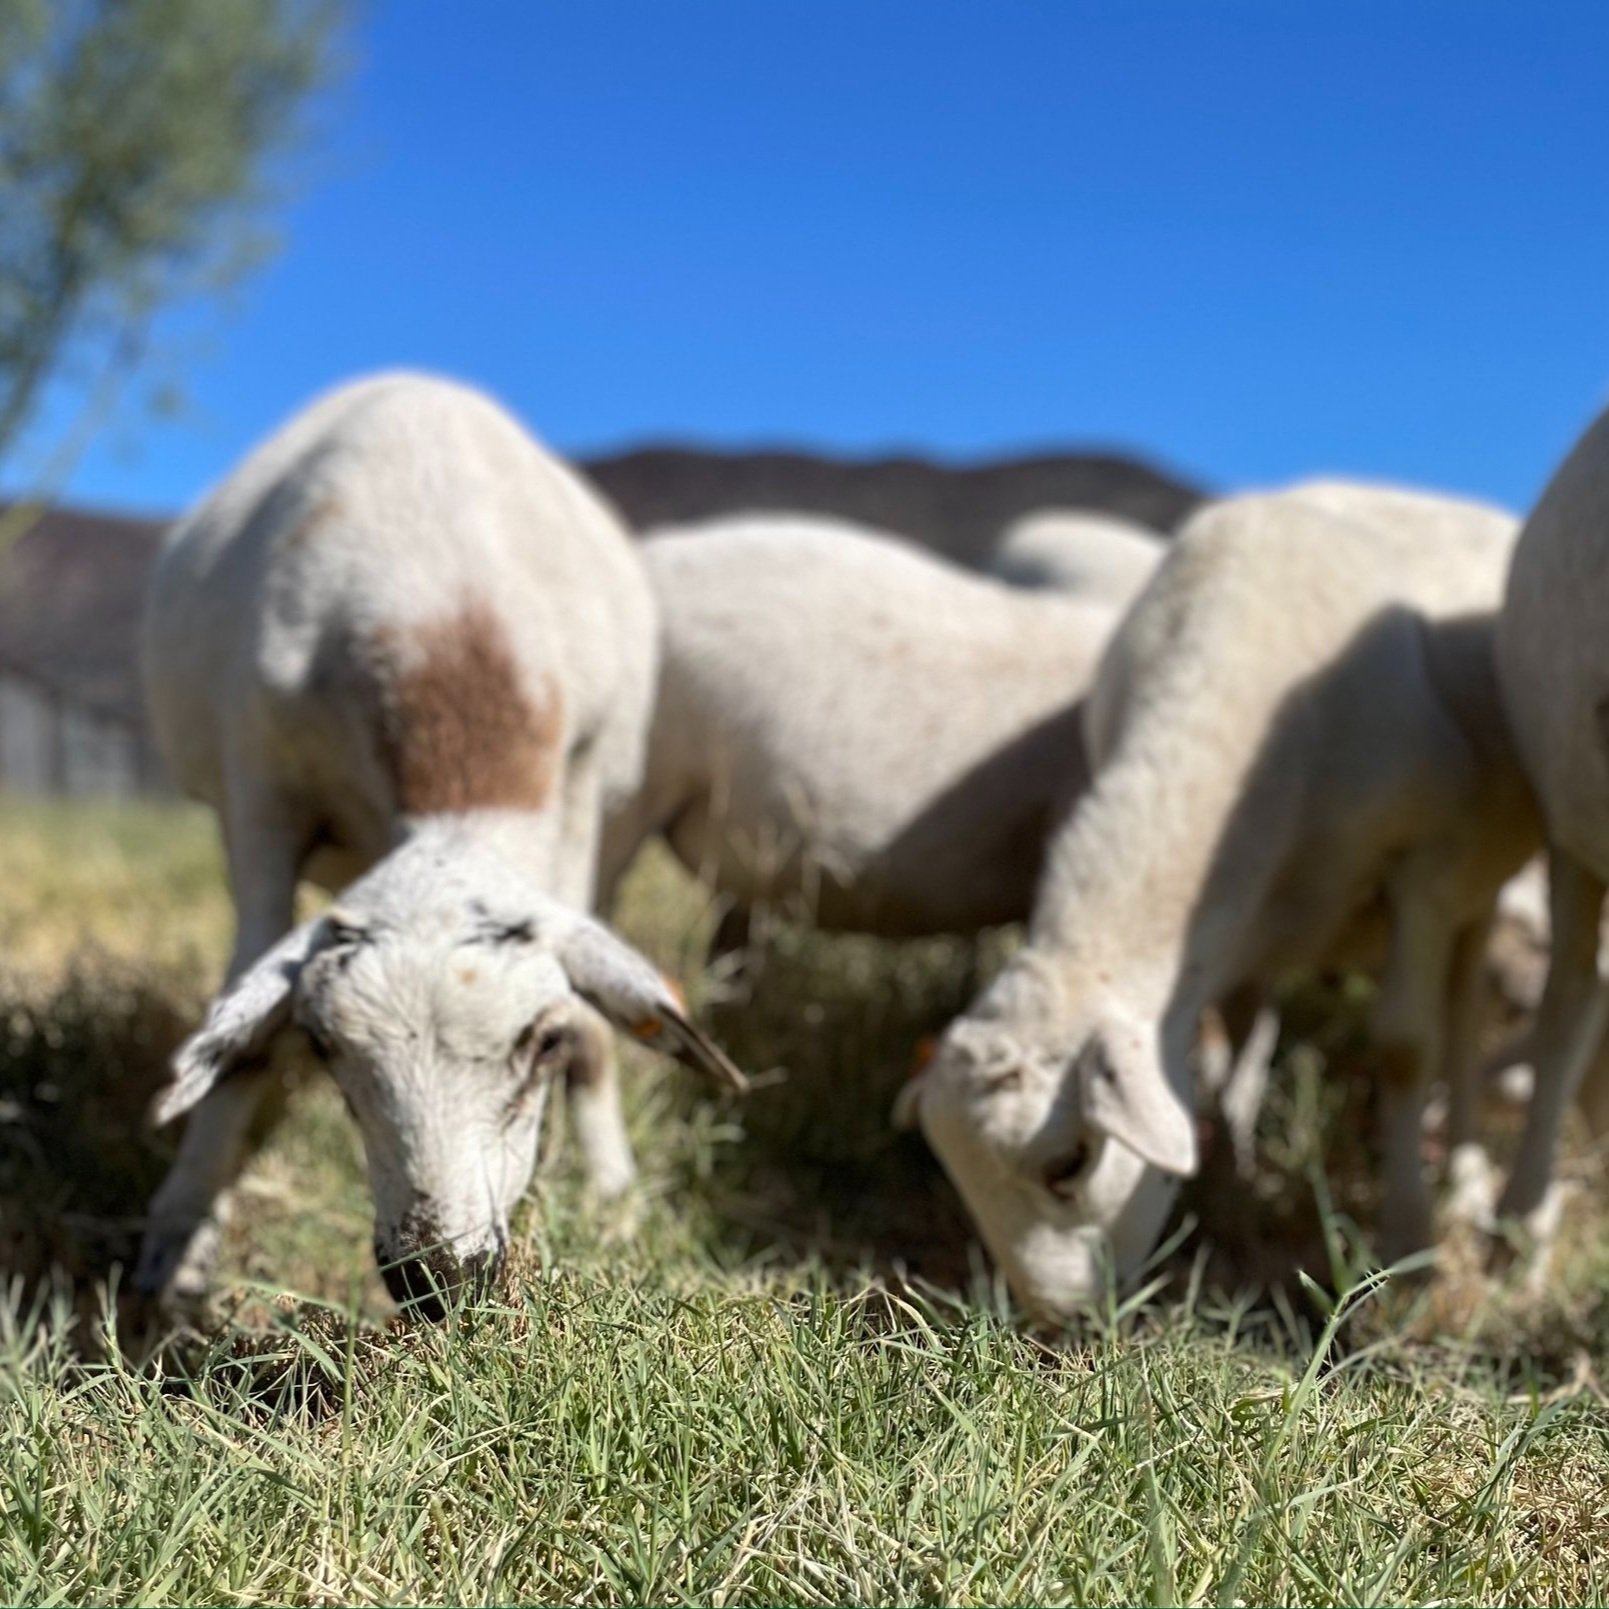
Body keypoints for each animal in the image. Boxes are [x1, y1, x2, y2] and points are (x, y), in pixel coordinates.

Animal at [136, 371, 743, 1313]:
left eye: (542, 1043)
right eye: (325, 1046)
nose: (439, 1276)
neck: (445, 612)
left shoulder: (579, 791)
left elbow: (598, 1027)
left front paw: (614, 1209)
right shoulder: (258, 793)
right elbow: (242, 1043)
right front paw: (182, 1236)